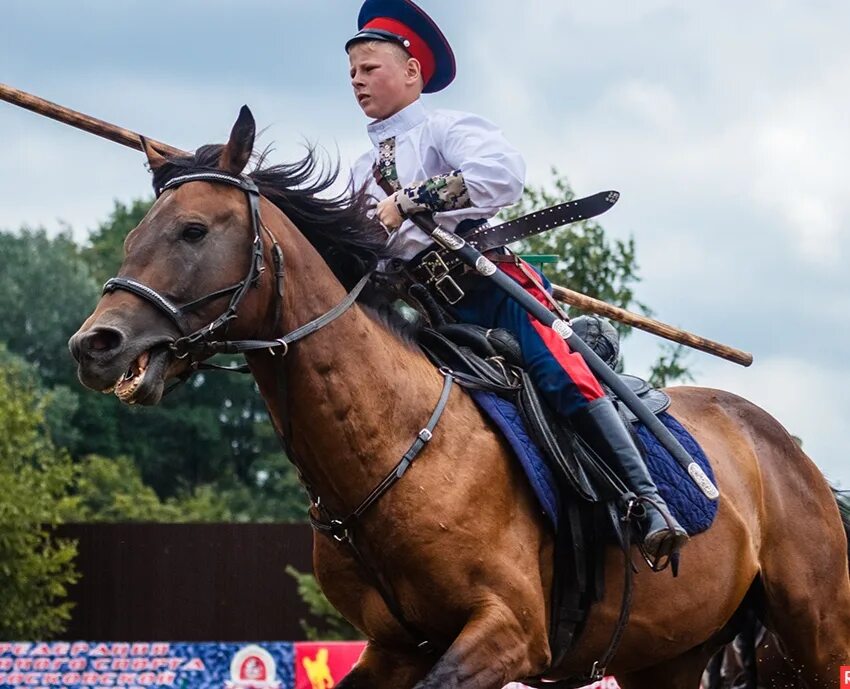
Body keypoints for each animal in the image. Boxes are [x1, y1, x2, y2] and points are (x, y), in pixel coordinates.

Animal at [68, 105, 848, 684]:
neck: (395, 441)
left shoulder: (507, 633)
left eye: (193, 229)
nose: (95, 344)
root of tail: (791, 453)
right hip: (670, 658)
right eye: (134, 233)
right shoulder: (393, 648)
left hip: (814, 636)